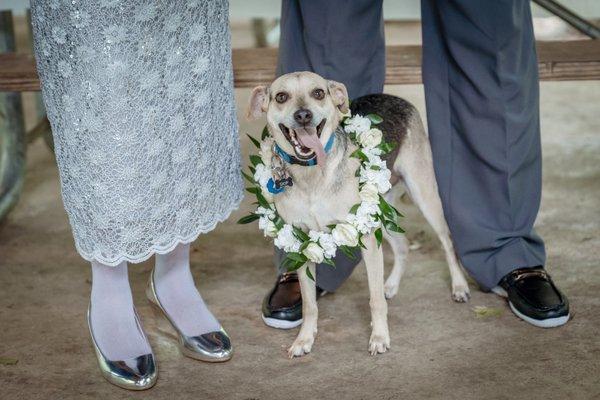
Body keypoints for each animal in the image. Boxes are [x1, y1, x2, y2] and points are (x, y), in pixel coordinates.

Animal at [246, 71, 472, 356]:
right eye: (281, 97)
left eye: (318, 93)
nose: (303, 115)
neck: (312, 175)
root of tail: (393, 96)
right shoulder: (302, 242)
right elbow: (309, 304)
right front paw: (304, 339)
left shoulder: (366, 237)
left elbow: (374, 299)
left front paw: (379, 337)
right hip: (382, 213)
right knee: (403, 245)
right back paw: (391, 285)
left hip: (423, 195)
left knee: (447, 241)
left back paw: (459, 286)